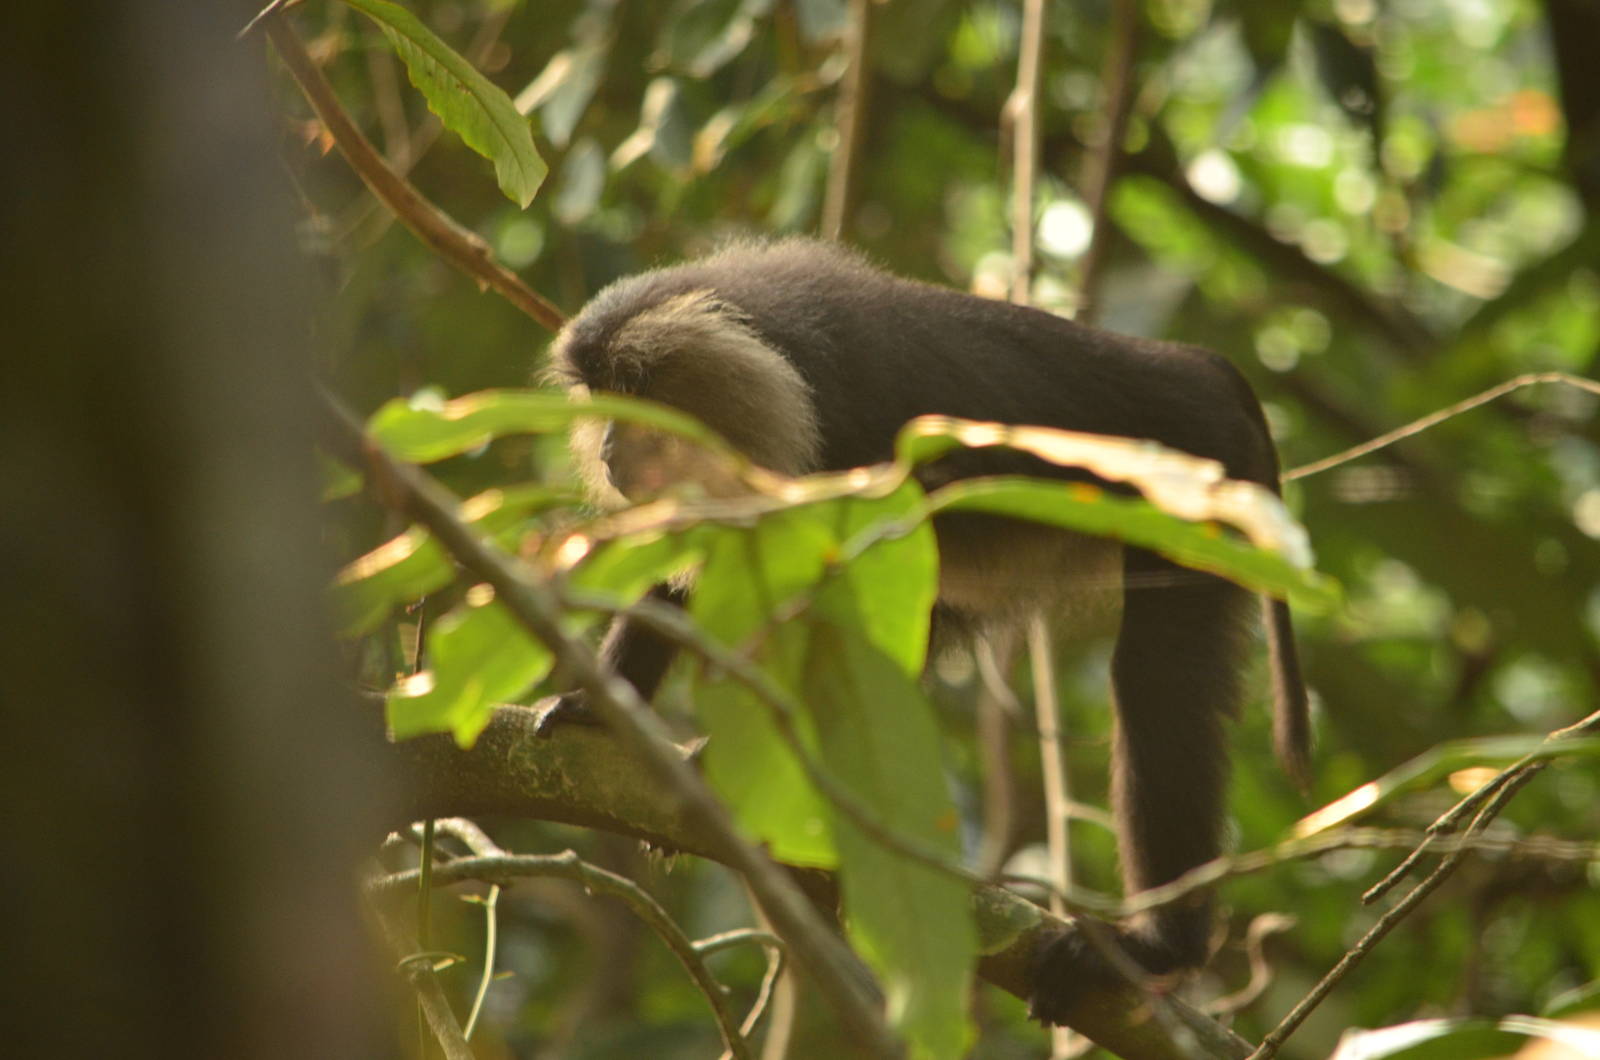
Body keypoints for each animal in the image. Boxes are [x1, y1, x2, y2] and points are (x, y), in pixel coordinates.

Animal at [544, 238, 1310, 1023]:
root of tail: (1193, 366)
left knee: (1155, 682)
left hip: (1199, 480)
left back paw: (1157, 948)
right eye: (604, 398)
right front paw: (602, 704)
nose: (609, 451)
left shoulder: (854, 448)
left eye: (638, 393)